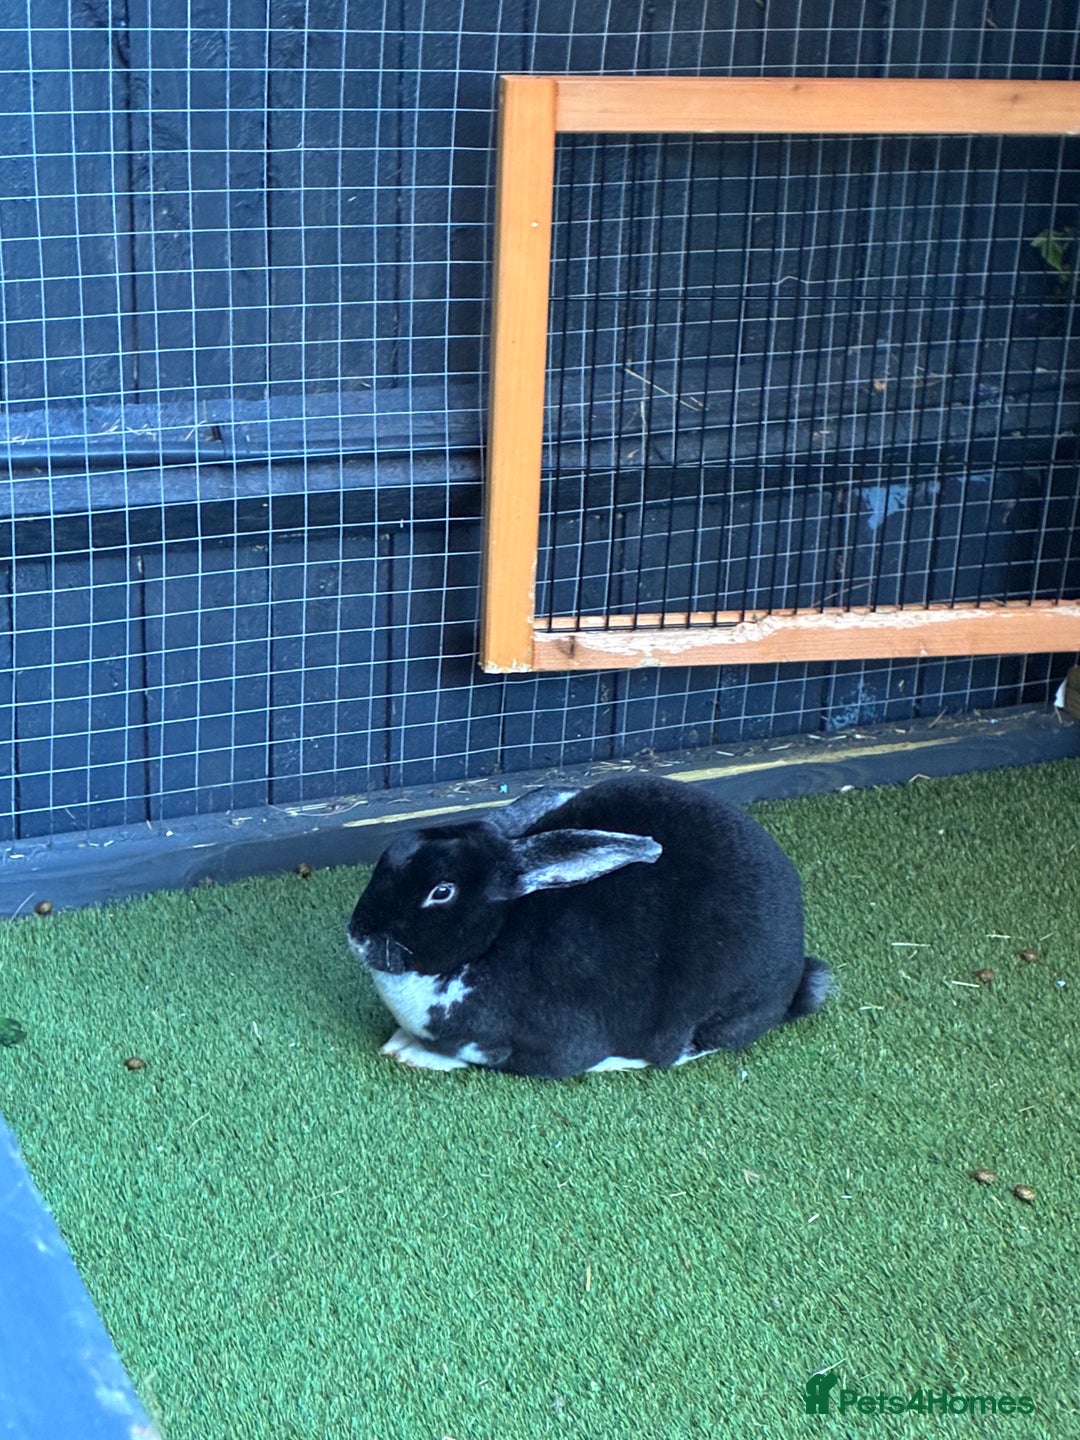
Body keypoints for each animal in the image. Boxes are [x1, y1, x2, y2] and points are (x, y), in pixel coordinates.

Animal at [347, 773, 830, 1079]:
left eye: (441, 892)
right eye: (393, 850)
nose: (358, 935)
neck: (492, 939)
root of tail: (797, 971)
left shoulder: (542, 1046)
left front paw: (416, 1055)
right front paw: (401, 1041)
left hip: (720, 1006)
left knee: (688, 1046)